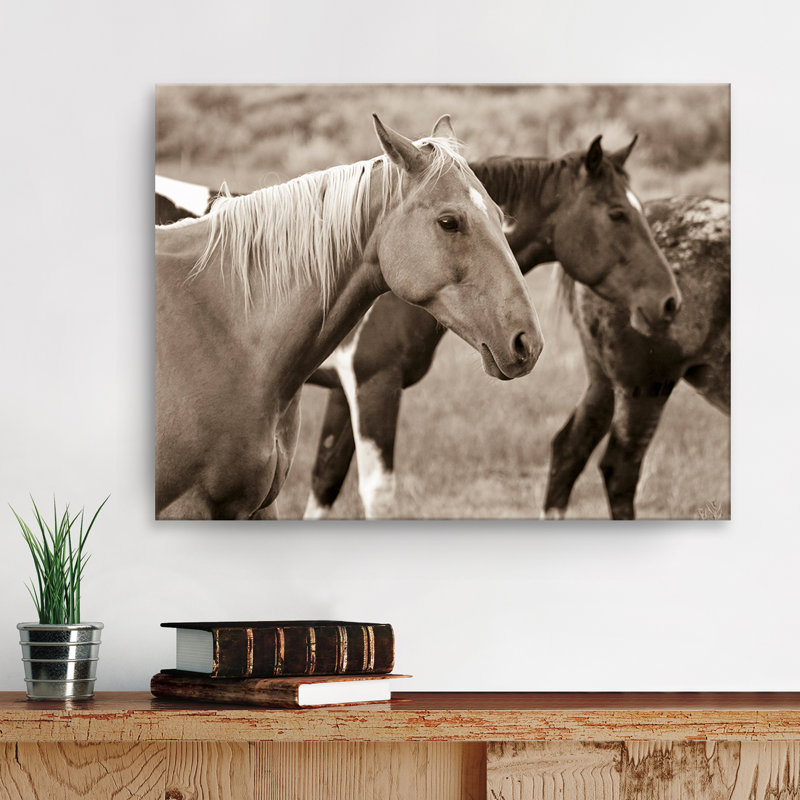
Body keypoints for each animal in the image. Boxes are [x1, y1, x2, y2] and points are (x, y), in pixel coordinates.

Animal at [156, 114, 544, 520]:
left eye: (501, 216)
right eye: (449, 221)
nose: (527, 341)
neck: (229, 330)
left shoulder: (262, 503)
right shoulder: (371, 383)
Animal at [302, 136, 683, 518]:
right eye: (617, 214)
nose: (669, 301)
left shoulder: (346, 390)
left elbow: (325, 479)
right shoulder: (374, 384)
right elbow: (376, 492)